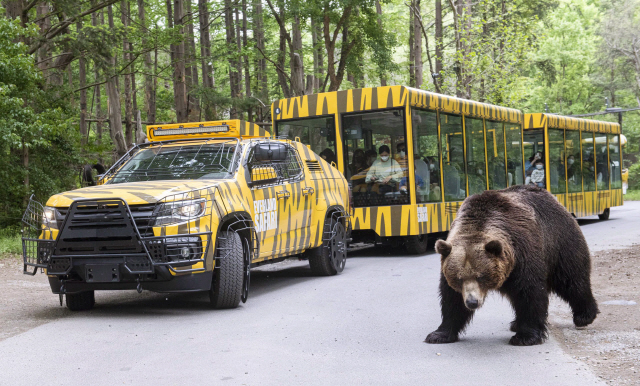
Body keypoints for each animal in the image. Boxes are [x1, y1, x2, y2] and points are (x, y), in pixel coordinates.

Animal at [424, 185, 600, 346]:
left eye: (481, 276)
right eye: (459, 278)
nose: (472, 302)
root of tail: (553, 198)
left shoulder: (523, 253)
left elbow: (529, 292)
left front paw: (525, 337)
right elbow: (452, 299)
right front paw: (438, 334)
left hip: (559, 243)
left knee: (572, 279)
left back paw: (584, 316)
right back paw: (515, 324)